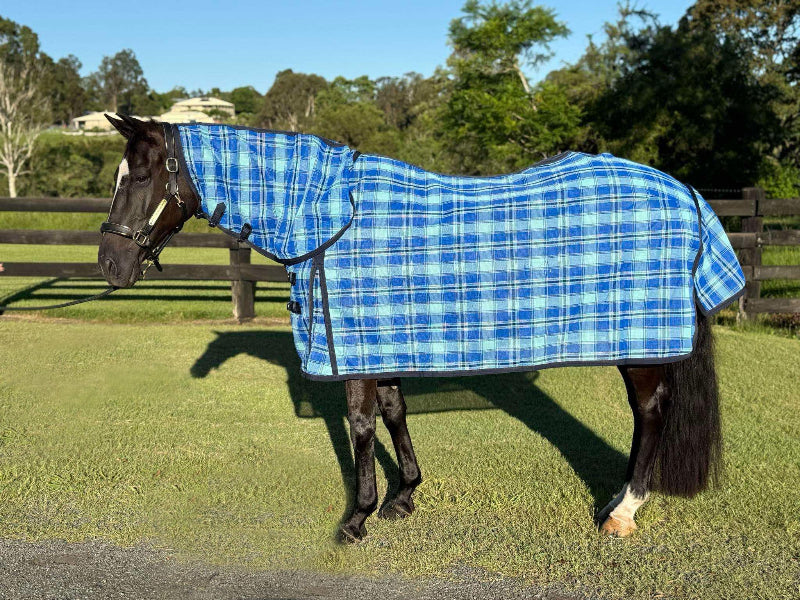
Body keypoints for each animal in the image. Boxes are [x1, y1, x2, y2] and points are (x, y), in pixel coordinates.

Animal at [98, 114, 741, 542]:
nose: (110, 265)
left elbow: (360, 426)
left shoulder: (353, 346)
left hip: (640, 343)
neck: (328, 218)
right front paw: (403, 496)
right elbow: (393, 412)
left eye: (139, 178)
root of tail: (686, 192)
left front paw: (357, 518)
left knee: (650, 410)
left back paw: (622, 511)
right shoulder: (379, 343)